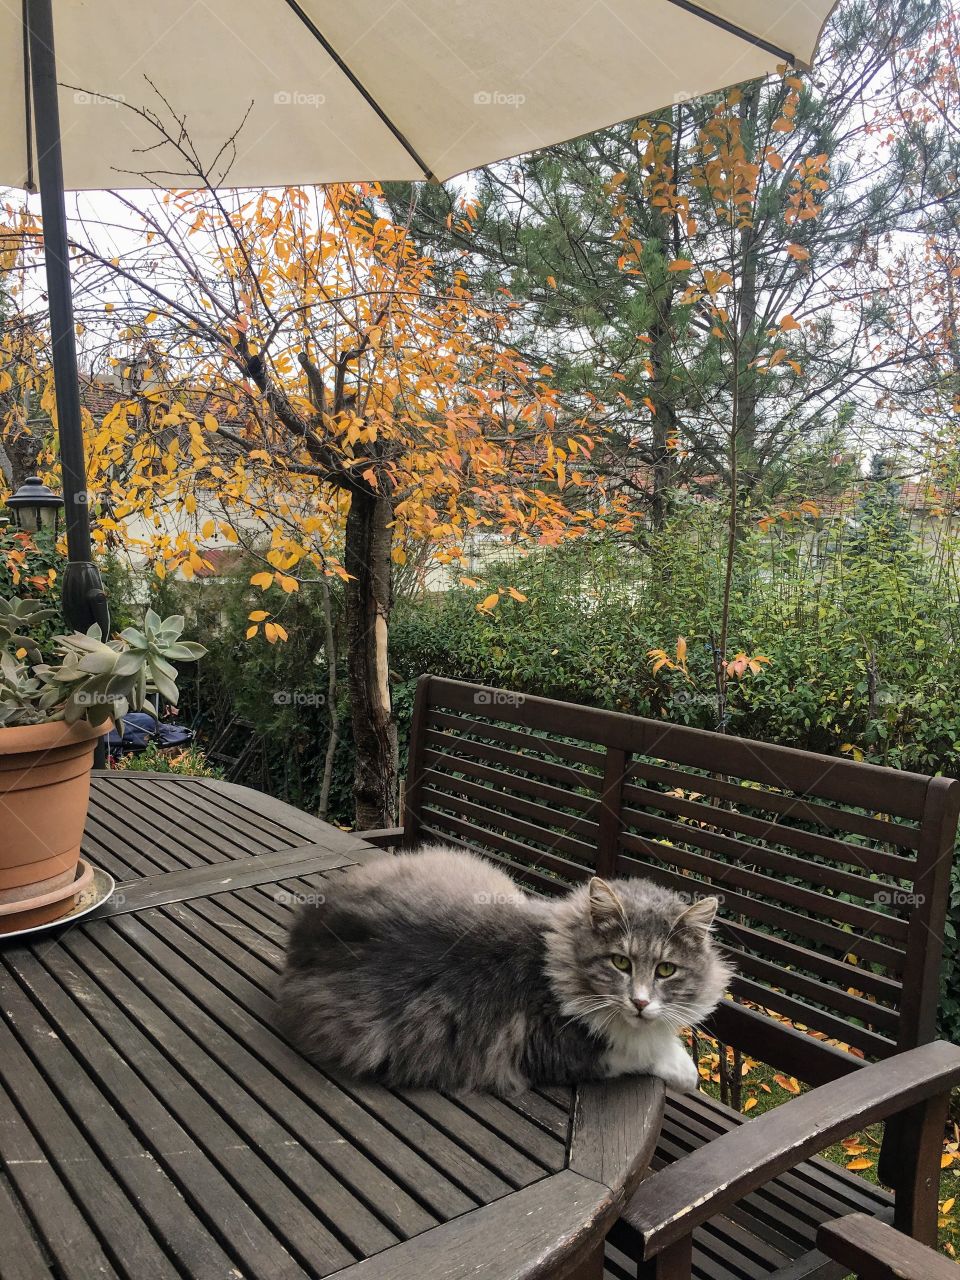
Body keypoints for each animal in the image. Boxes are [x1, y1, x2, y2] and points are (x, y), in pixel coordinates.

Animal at [273, 844, 732, 1095]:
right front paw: (685, 1071)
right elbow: (641, 1051)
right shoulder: (555, 1049)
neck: (552, 958)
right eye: (621, 962)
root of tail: (306, 932)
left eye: (666, 970)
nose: (639, 1002)